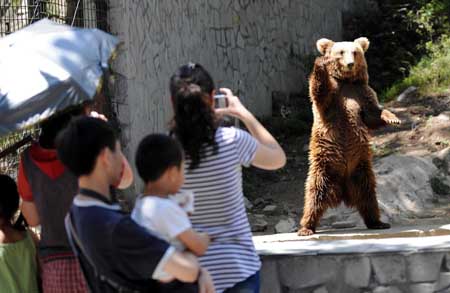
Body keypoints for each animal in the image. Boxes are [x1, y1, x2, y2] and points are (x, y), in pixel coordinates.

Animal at [298, 37, 400, 236]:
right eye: (341, 52)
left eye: (355, 52)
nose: (351, 64)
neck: (345, 82)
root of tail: (343, 190)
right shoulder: (333, 97)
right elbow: (319, 92)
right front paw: (320, 63)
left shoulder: (361, 93)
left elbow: (372, 115)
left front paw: (394, 119)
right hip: (324, 166)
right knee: (314, 195)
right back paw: (306, 227)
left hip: (360, 168)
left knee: (369, 194)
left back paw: (377, 222)